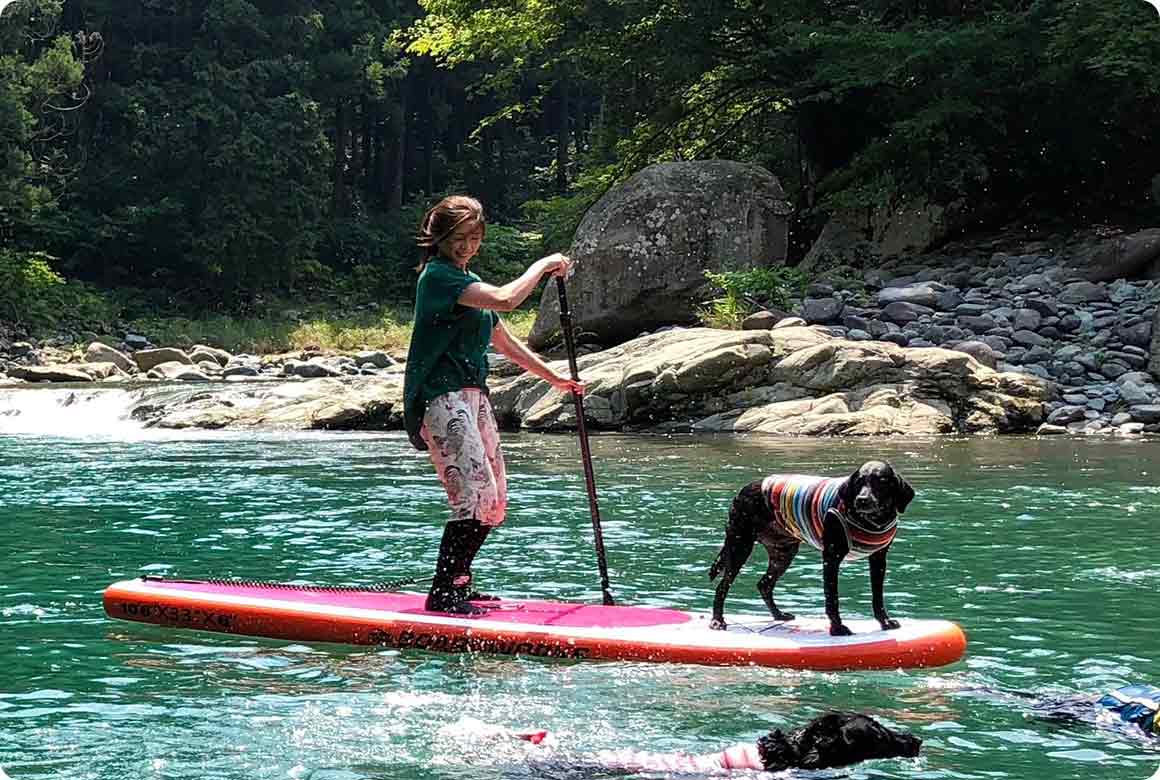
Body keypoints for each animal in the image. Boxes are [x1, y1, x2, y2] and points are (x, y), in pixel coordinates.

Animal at [705, 459, 914, 636]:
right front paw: (837, 628)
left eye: (882, 481)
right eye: (859, 482)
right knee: (722, 586)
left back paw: (778, 615)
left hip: (783, 554)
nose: (862, 500)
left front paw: (884, 622)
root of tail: (743, 490)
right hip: (739, 547)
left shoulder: (878, 559)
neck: (872, 521)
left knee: (764, 584)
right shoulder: (831, 557)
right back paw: (717, 621)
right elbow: (832, 598)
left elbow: (877, 597)